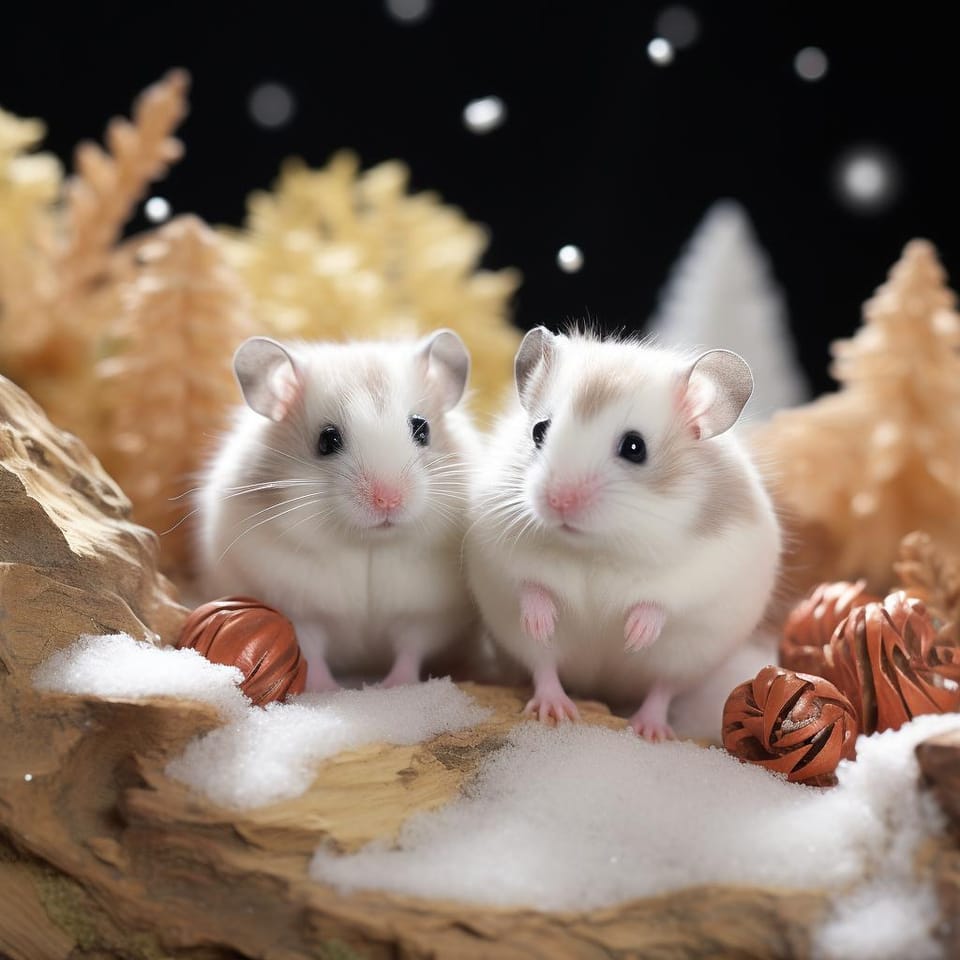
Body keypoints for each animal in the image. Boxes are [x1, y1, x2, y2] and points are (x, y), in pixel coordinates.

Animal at [196, 330, 479, 691]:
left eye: (422, 429)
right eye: (327, 440)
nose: (388, 500)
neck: (368, 543)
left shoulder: (425, 614)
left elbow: (410, 651)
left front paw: (394, 687)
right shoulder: (302, 609)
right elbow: (312, 651)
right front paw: (327, 689)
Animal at [464, 327, 781, 740]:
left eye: (635, 447)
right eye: (538, 431)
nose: (559, 500)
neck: (596, 548)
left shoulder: (708, 567)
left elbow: (662, 601)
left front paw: (633, 635)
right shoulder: (498, 545)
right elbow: (530, 585)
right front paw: (540, 622)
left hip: (685, 659)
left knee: (662, 689)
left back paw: (649, 730)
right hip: (523, 645)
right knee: (544, 666)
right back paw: (556, 709)